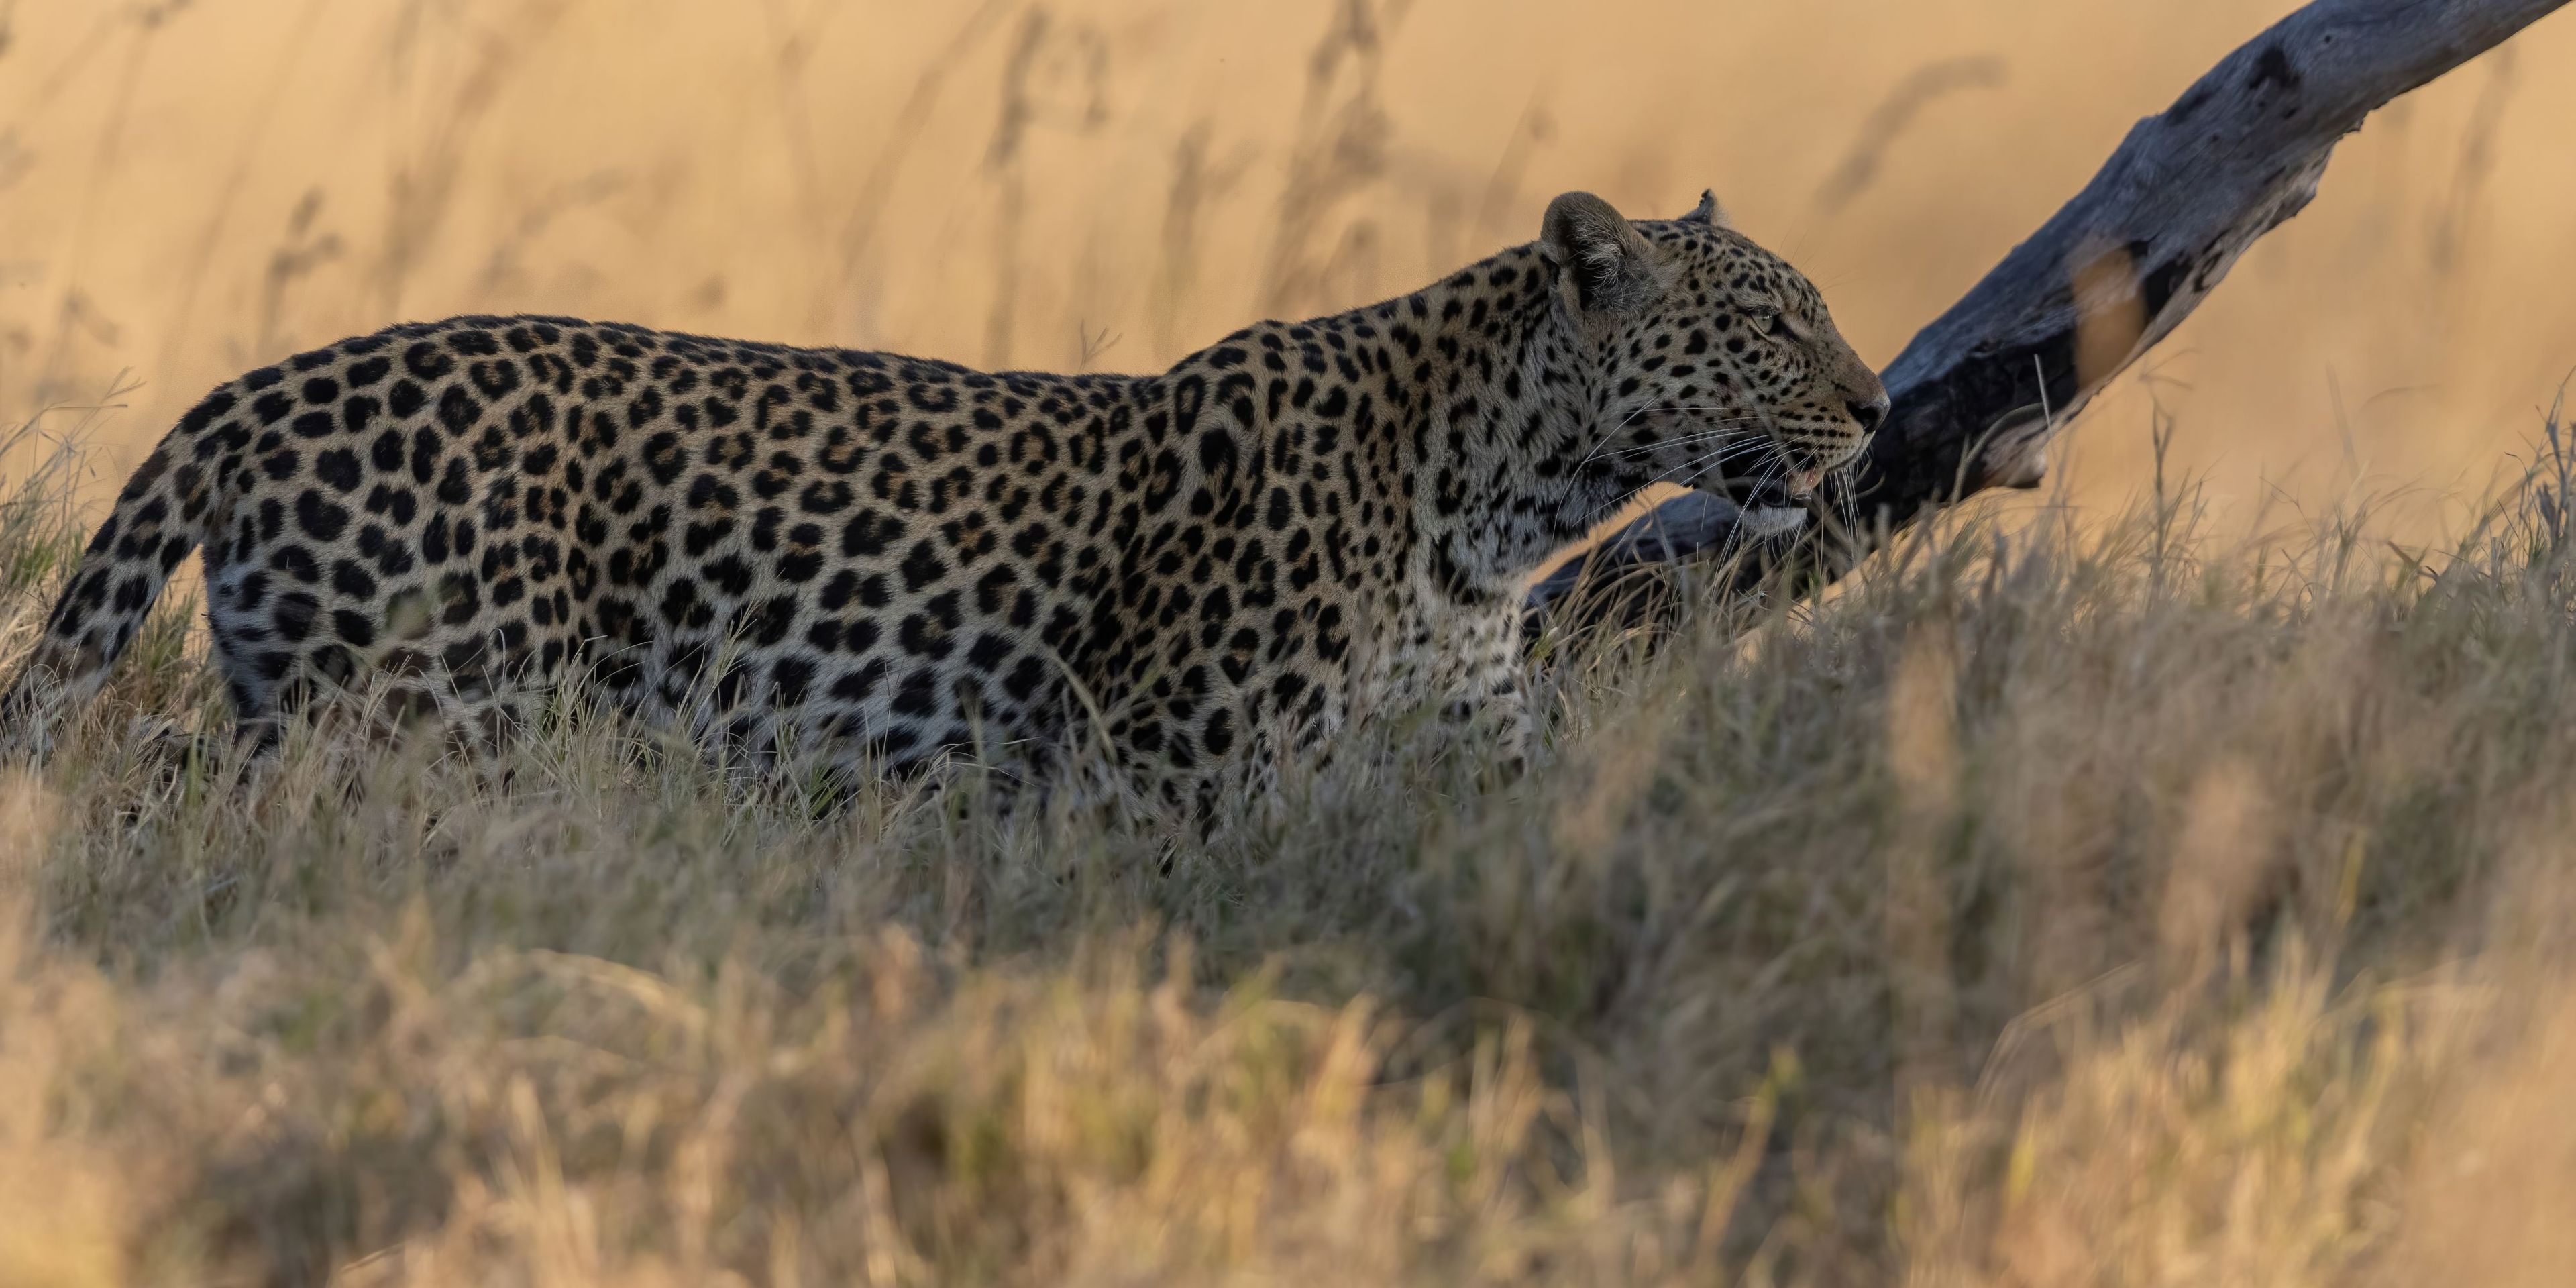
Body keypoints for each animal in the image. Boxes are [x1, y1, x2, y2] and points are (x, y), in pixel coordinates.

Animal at [0, 190, 1887, 791]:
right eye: (1770, 327)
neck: (1495, 506)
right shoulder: (1159, 772)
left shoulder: (1472, 748)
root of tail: (261, 384)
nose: (1876, 411)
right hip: (424, 724)